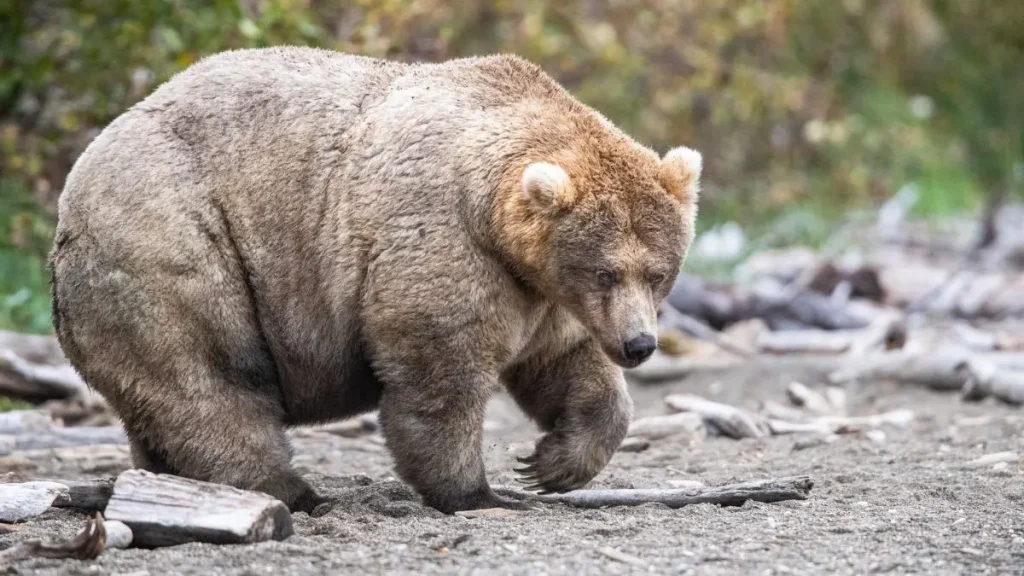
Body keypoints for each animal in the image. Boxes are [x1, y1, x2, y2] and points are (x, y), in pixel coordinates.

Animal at [48, 47, 702, 514]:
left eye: (658, 272)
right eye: (606, 270)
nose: (639, 345)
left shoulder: (541, 292)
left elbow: (565, 363)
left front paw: (551, 464)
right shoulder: (444, 241)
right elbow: (440, 370)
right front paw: (478, 492)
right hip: (174, 243)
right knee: (209, 377)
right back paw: (292, 491)